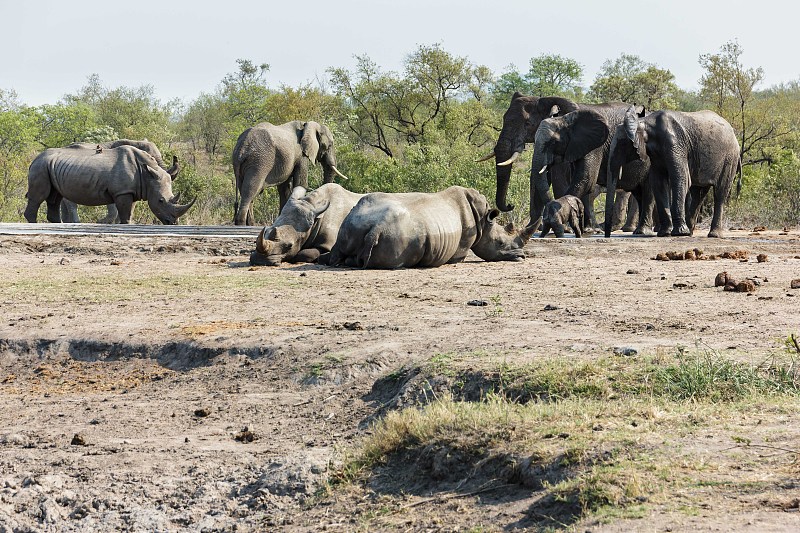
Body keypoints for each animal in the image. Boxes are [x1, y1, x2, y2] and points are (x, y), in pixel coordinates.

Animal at [25, 144, 195, 223]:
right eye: (160, 201)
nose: (173, 222)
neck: (147, 173)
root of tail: (34, 159)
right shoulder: (123, 192)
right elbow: (125, 215)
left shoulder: (130, 191)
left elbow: (128, 214)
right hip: (41, 166)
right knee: (39, 197)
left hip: (51, 167)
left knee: (55, 197)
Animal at [328, 187, 536, 270]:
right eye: (500, 243)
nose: (522, 256)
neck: (484, 221)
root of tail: (376, 229)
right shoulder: (461, 249)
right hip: (400, 236)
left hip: (352, 221)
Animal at [608, 108, 744, 237]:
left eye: (621, 145)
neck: (645, 122)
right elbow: (658, 182)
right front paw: (664, 233)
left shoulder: (675, 144)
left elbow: (680, 178)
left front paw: (679, 232)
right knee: (698, 193)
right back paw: (690, 232)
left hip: (730, 159)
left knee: (720, 193)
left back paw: (713, 235)